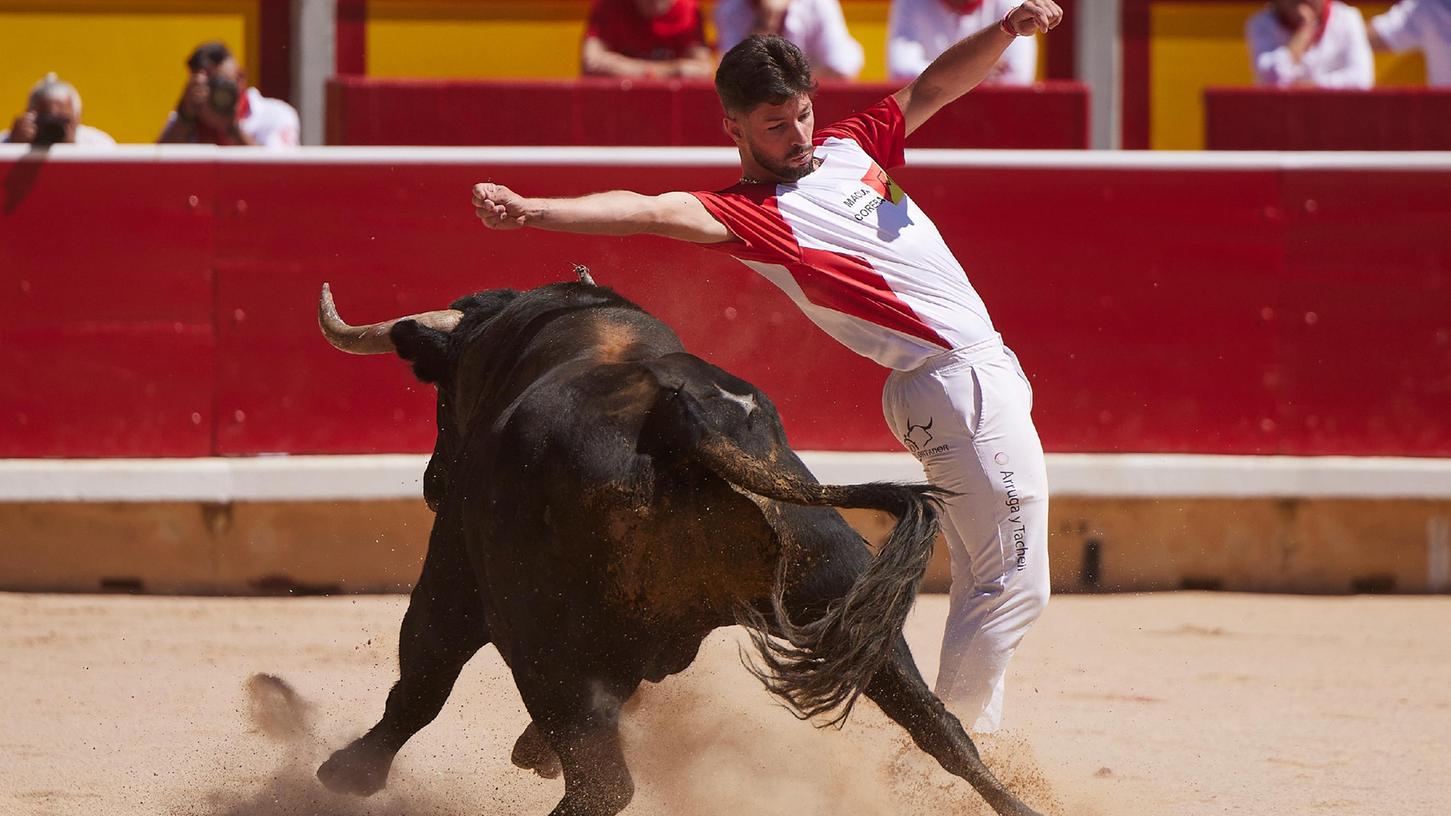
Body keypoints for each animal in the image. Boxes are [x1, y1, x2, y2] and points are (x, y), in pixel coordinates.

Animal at [314, 274, 1044, 813]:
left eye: (442, 396)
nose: (435, 482)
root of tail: (682, 422)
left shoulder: (455, 572)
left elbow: (422, 677)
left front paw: (349, 772)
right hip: (842, 593)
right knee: (944, 730)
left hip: (542, 637)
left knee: (602, 783)